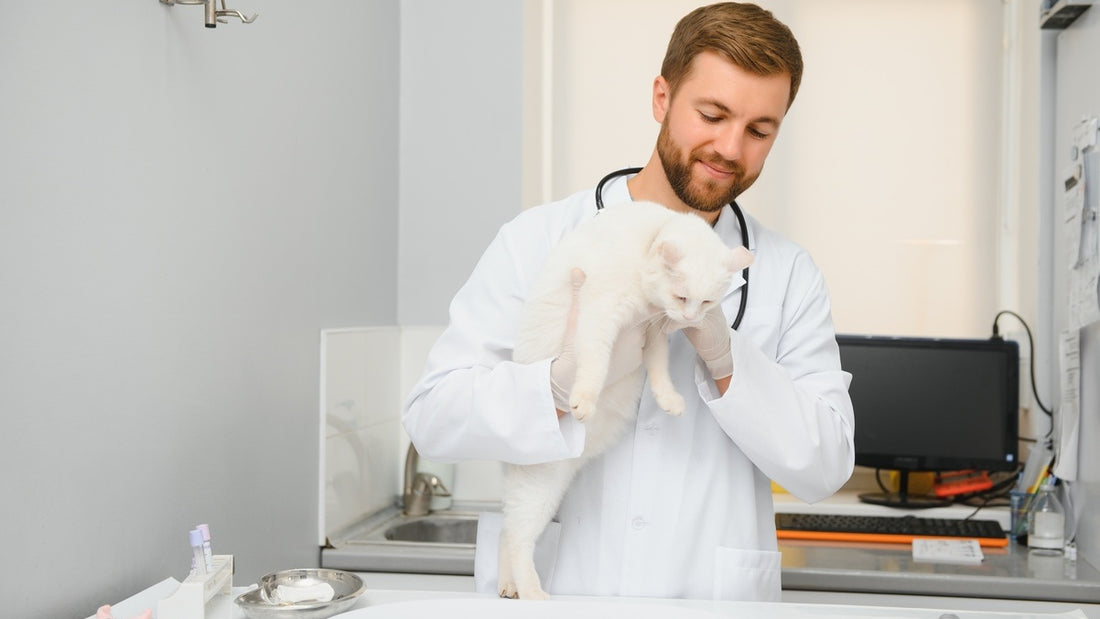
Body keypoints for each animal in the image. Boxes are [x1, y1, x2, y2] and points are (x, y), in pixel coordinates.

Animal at [499, 201, 756, 598]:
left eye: (707, 302)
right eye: (683, 297)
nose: (690, 317)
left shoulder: (651, 330)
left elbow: (659, 366)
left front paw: (668, 398)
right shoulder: (598, 317)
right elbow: (595, 362)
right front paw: (583, 398)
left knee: (506, 531)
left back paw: (508, 583)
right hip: (537, 485)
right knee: (515, 538)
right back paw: (530, 590)